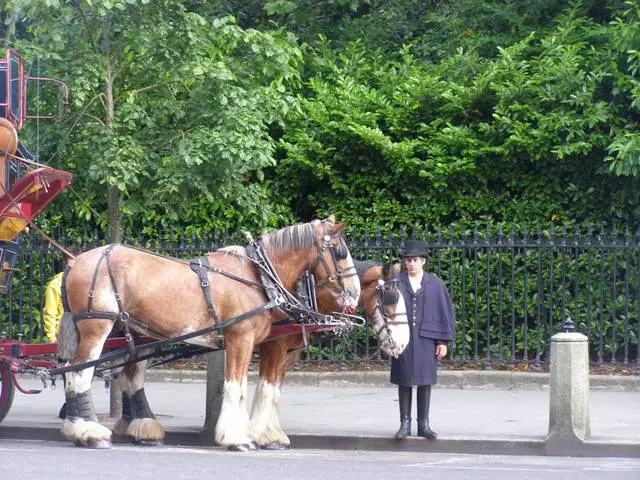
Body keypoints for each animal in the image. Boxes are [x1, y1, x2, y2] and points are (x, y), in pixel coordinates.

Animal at [58, 218, 360, 450]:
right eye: (340, 252)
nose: (355, 294)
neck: (259, 276)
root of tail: (76, 261)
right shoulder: (243, 339)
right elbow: (239, 386)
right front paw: (239, 437)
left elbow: (266, 388)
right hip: (97, 327)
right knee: (79, 371)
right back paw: (89, 431)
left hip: (134, 333)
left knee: (122, 376)